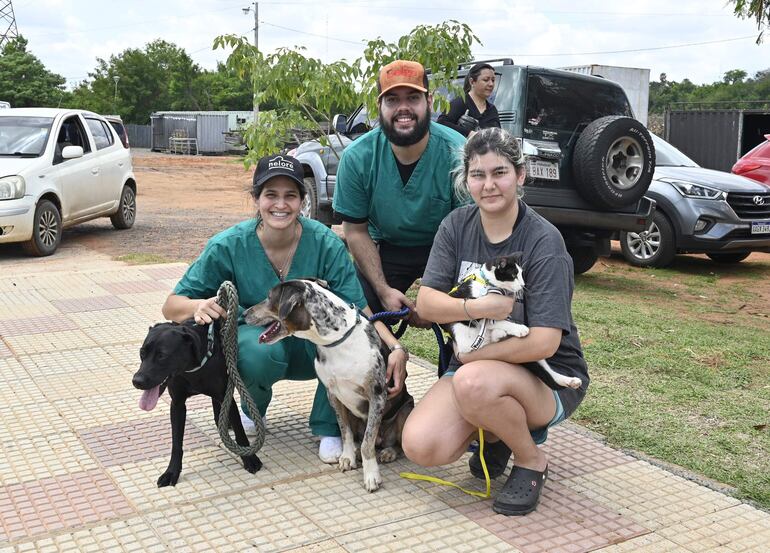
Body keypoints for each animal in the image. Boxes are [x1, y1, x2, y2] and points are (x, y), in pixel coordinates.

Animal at [131, 320, 260, 488]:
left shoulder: (227, 397)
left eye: (162, 356)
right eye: (142, 353)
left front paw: (250, 459)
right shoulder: (177, 404)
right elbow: (176, 444)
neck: (192, 370)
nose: (136, 381)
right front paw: (171, 472)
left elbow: (240, 433)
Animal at [440, 254, 580, 388]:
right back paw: (499, 334)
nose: (523, 285)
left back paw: (571, 381)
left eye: (521, 274)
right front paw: (520, 328)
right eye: (513, 276)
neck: (487, 284)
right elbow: (499, 321)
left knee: (548, 371)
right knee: (476, 344)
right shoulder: (480, 311)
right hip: (460, 331)